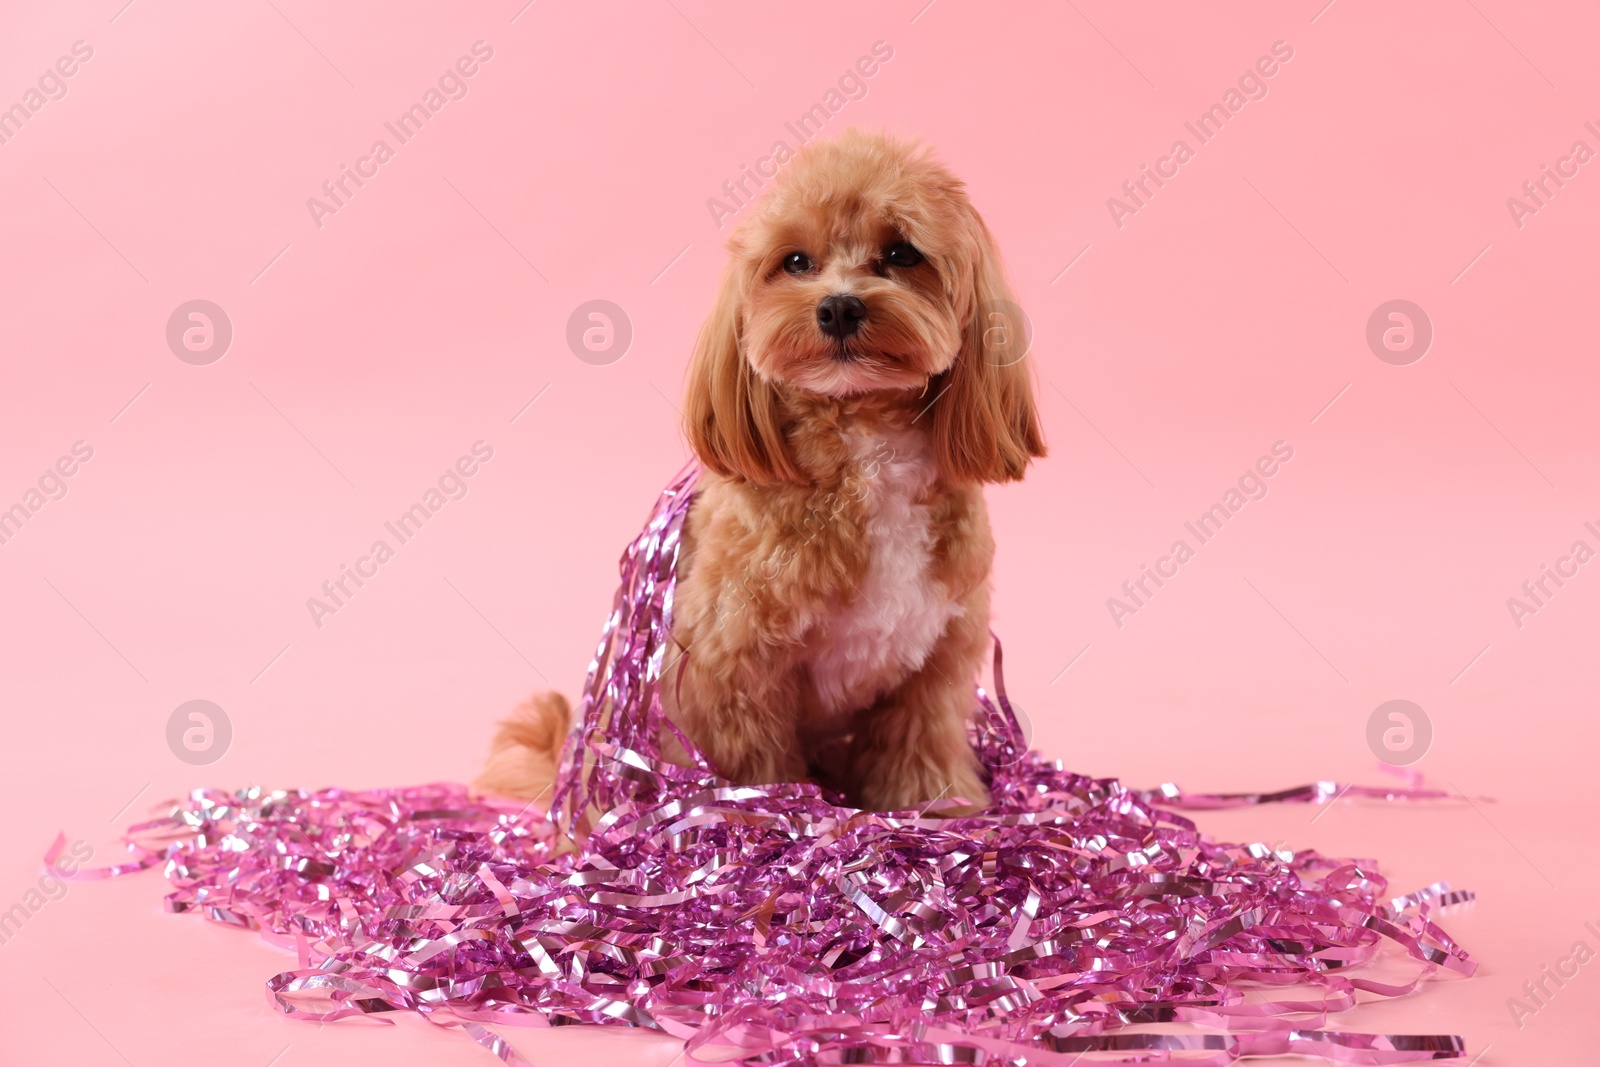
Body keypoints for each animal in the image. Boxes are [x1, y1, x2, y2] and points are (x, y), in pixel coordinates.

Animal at [473, 127, 1043, 809]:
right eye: (795, 262)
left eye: (902, 253)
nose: (839, 308)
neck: (865, 447)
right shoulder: (732, 666)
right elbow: (751, 766)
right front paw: (761, 818)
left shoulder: (936, 663)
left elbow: (921, 749)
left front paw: (938, 808)